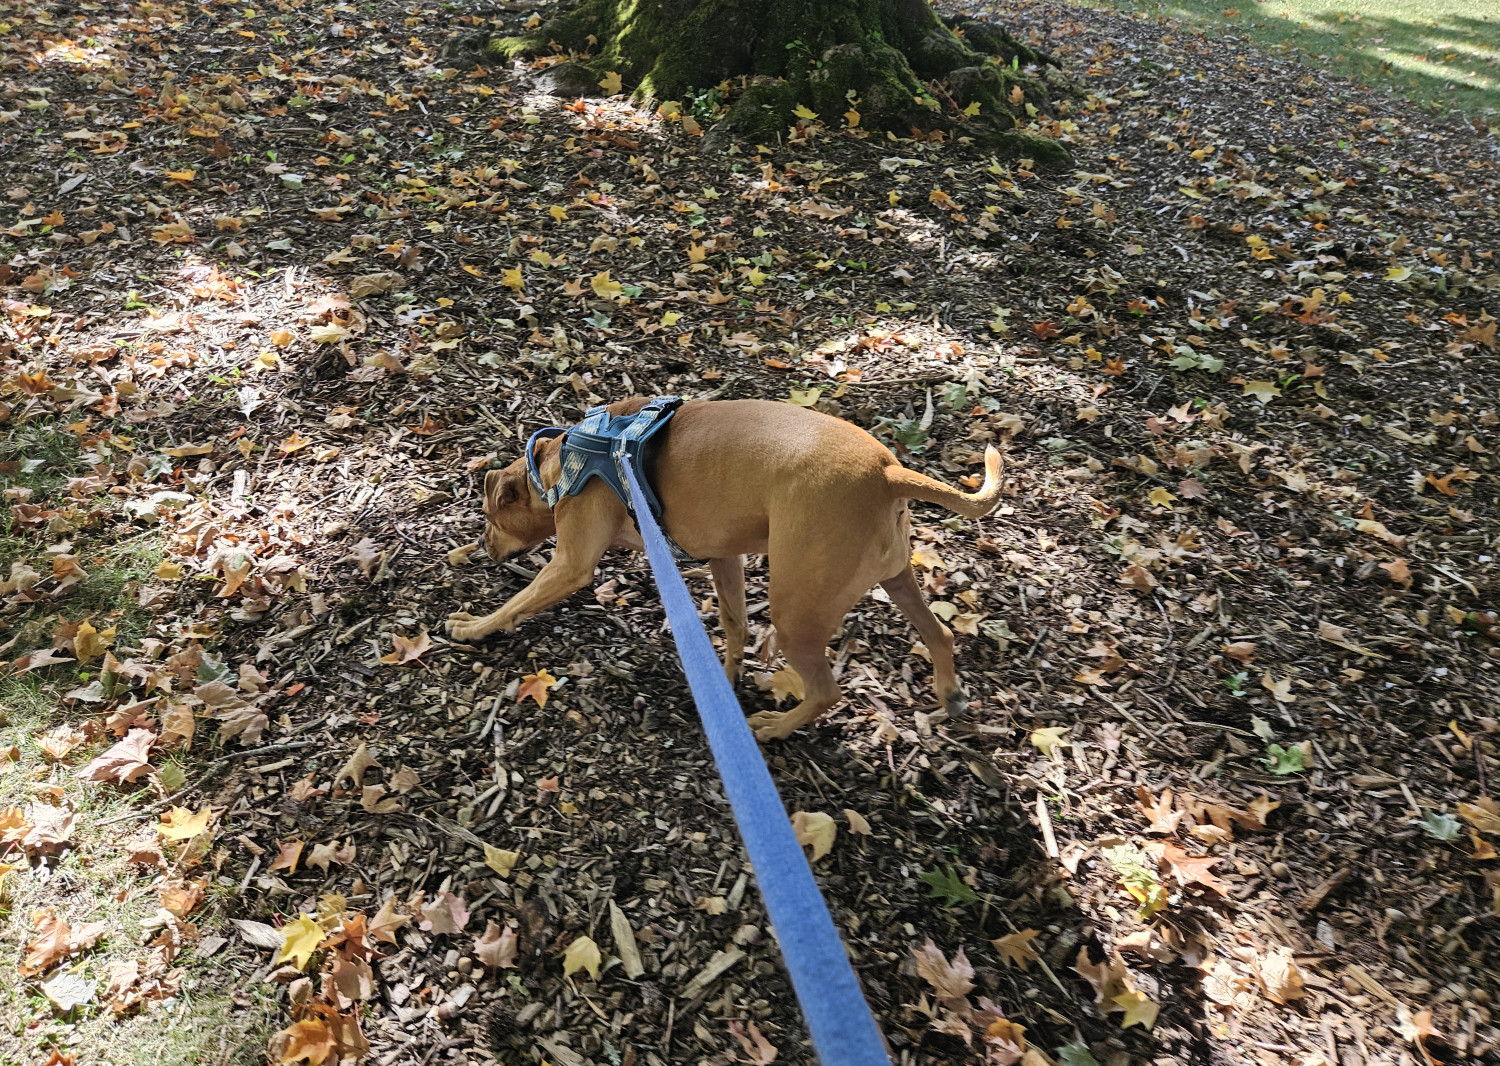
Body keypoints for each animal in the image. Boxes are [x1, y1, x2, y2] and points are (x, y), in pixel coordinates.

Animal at [447, 395, 1008, 737]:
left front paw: (473, 626)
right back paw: (950, 692)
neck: (561, 462)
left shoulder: (569, 566)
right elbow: (735, 623)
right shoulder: (725, 556)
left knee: (827, 690)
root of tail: (888, 472)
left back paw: (775, 728)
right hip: (896, 577)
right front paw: (726, 677)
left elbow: (515, 603)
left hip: (796, 612)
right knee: (940, 633)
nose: (482, 546)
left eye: (489, 516)